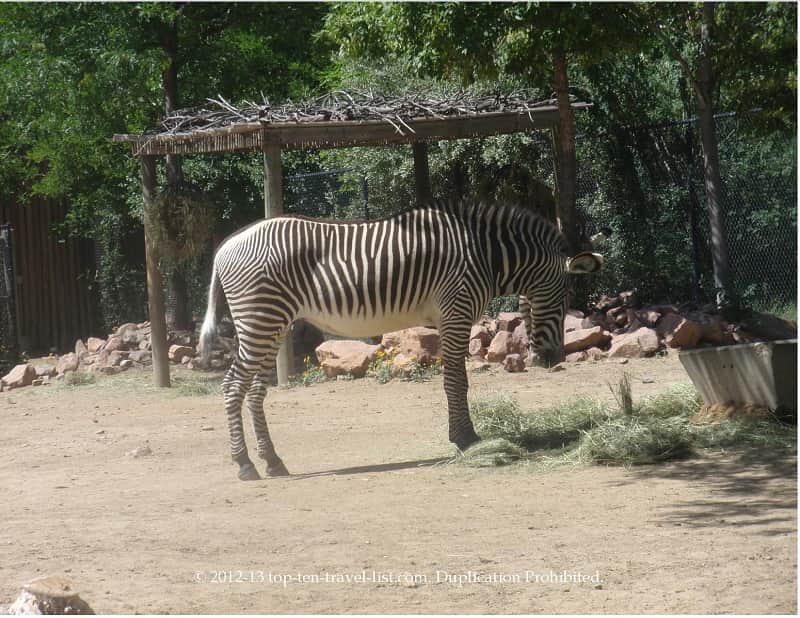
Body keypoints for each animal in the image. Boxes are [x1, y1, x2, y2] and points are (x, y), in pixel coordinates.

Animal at [198, 199, 603, 481]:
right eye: (565, 297)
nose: (553, 360)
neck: (485, 256)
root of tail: (224, 248)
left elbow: (455, 380)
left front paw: (465, 436)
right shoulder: (455, 313)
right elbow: (457, 381)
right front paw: (466, 438)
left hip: (272, 324)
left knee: (254, 391)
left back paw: (272, 461)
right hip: (261, 318)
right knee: (233, 386)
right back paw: (245, 465)